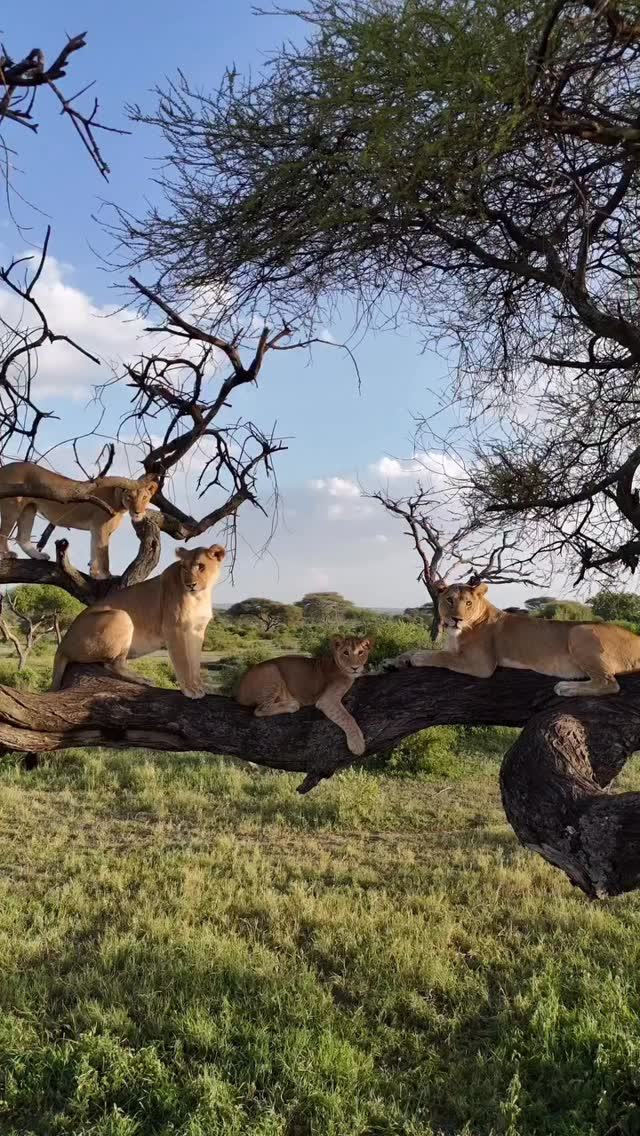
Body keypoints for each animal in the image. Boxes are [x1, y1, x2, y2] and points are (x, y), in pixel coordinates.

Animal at [0, 461, 159, 579]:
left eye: (144, 498)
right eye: (129, 497)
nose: (138, 512)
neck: (119, 502)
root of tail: (4, 467)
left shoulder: (96, 529)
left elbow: (95, 549)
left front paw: (95, 573)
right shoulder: (101, 527)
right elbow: (104, 554)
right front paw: (106, 575)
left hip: (29, 508)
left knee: (22, 537)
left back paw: (38, 556)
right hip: (12, 505)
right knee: (4, 533)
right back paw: (7, 555)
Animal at [51, 544, 226, 698]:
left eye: (201, 566)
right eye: (184, 568)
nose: (190, 585)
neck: (201, 595)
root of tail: (62, 645)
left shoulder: (197, 630)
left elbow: (195, 662)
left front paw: (202, 686)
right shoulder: (174, 628)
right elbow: (183, 661)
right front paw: (190, 689)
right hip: (121, 615)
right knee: (112, 663)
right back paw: (143, 679)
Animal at [235, 635, 375, 753]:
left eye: (361, 652)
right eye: (345, 652)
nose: (355, 667)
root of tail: (239, 690)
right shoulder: (327, 700)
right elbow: (347, 718)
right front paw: (357, 745)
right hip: (271, 669)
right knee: (260, 710)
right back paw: (292, 704)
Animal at [383, 580, 640, 696]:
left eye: (468, 603)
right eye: (449, 600)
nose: (456, 619)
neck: (456, 634)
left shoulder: (481, 664)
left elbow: (439, 656)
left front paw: (417, 658)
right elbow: (417, 650)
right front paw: (392, 662)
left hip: (580, 631)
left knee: (609, 683)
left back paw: (567, 687)